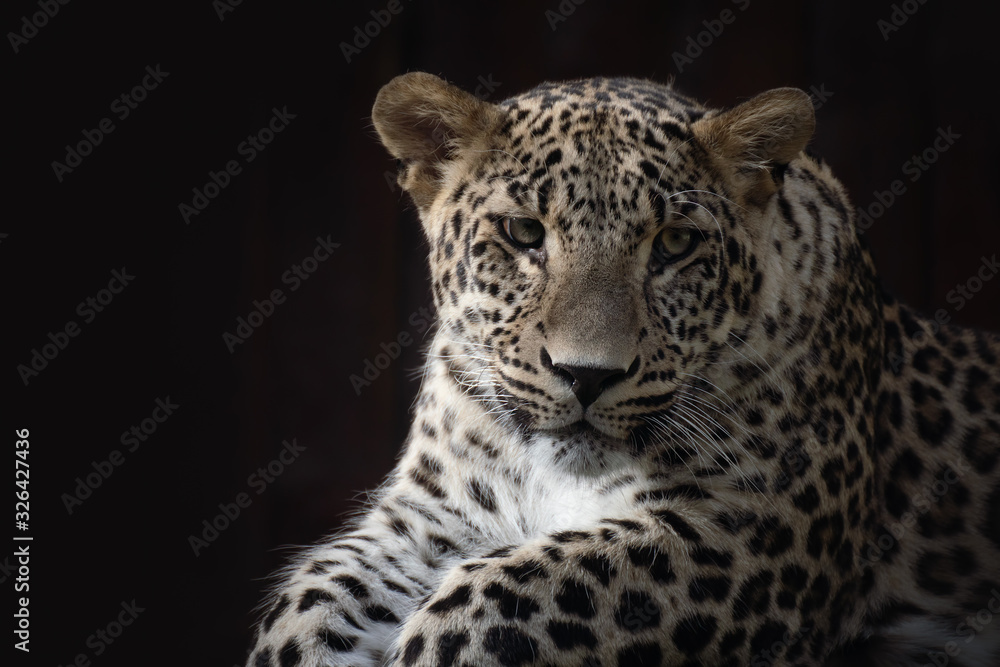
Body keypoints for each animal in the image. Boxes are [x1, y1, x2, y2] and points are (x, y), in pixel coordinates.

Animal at [244, 72, 1000, 666]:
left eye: (675, 244)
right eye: (524, 233)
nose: (587, 375)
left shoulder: (750, 533)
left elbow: (492, 600)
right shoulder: (434, 518)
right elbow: (309, 603)